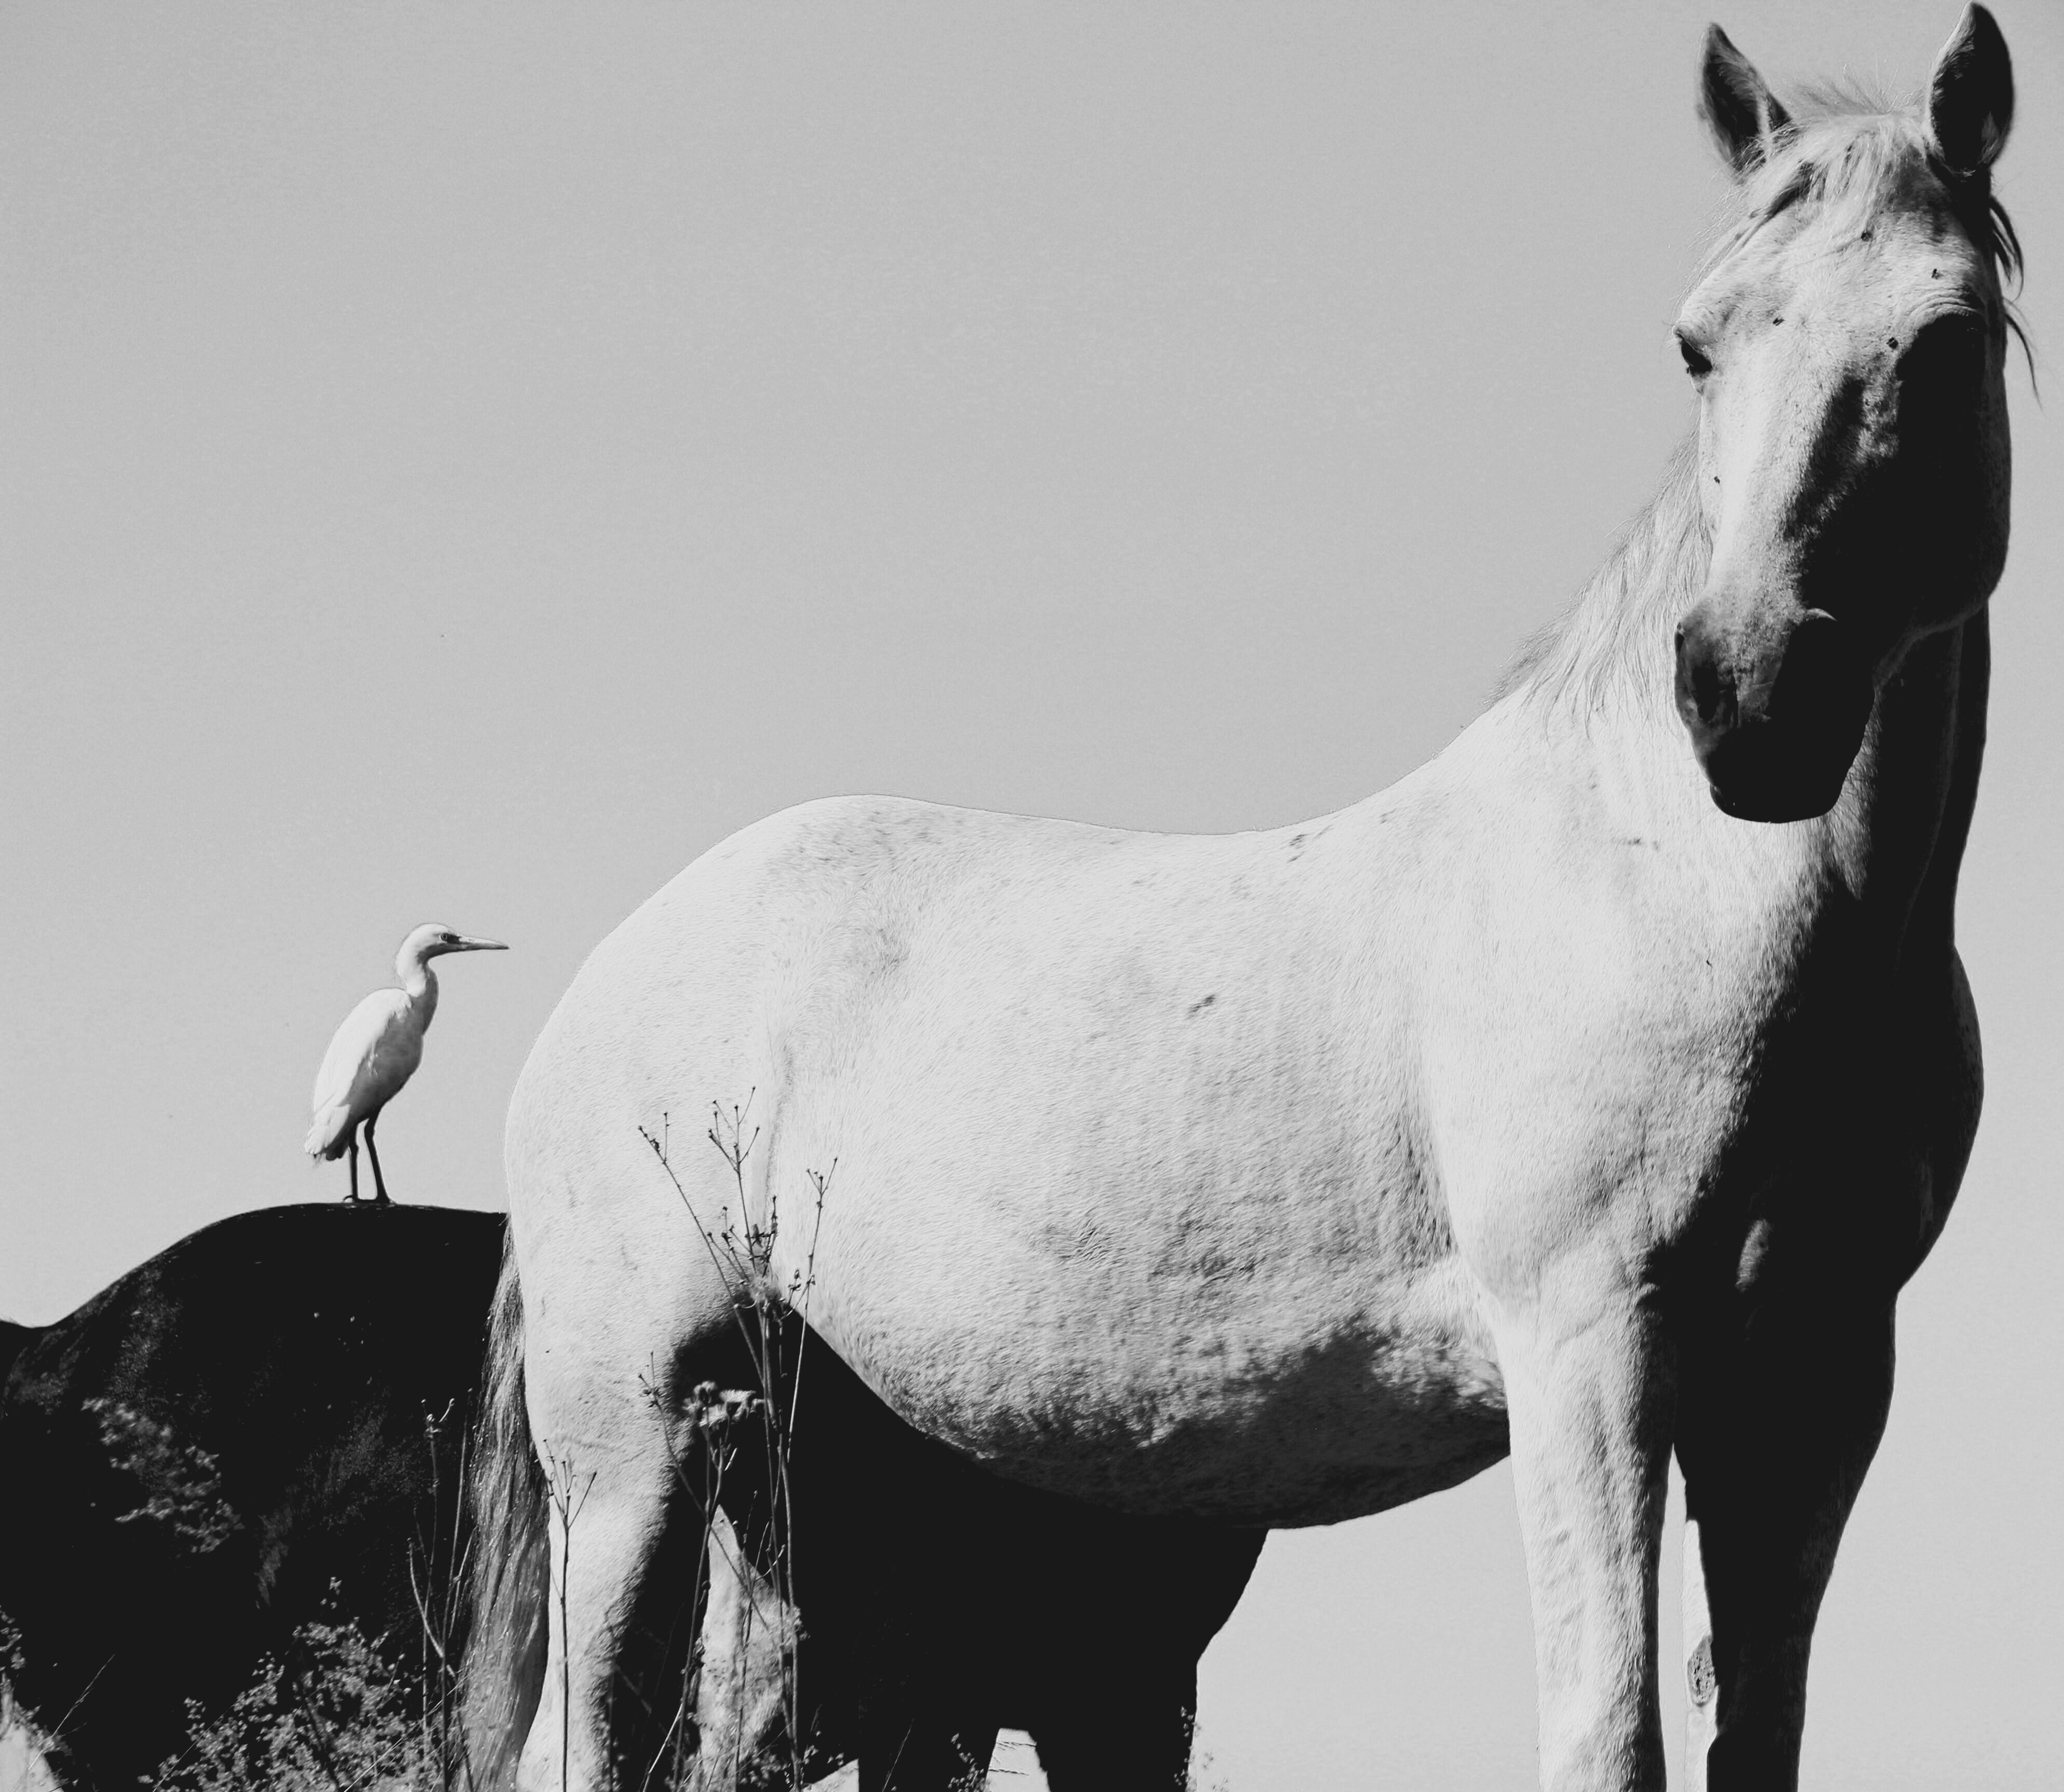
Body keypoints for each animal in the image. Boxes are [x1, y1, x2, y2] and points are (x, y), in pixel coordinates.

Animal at [484, 10, 2021, 1789]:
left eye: (1945, 341)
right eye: (1698, 347)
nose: (1747, 698)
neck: (1674, 896)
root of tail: (613, 973)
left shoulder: (1814, 1387)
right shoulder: (1594, 1345)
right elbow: (1609, 1728)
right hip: (634, 1461)